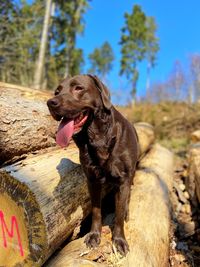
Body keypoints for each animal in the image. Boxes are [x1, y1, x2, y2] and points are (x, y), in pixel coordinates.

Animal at [47, 74, 139, 256]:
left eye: (78, 88)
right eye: (57, 91)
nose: (51, 102)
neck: (98, 138)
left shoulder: (123, 180)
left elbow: (118, 214)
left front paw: (119, 240)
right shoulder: (92, 180)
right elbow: (96, 210)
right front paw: (94, 235)